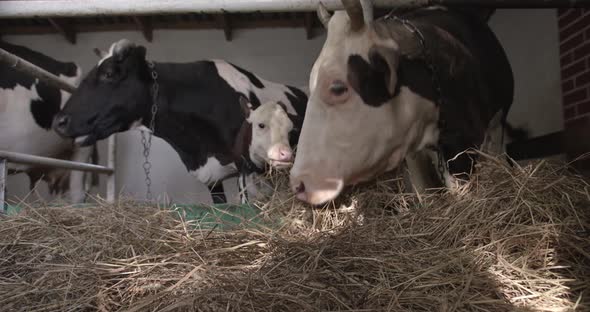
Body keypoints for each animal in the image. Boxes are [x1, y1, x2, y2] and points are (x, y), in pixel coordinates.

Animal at [292, 1, 528, 206]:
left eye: (338, 88)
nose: (298, 184)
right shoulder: (414, 155)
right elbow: (426, 193)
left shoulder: (462, 141)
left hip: (498, 122)